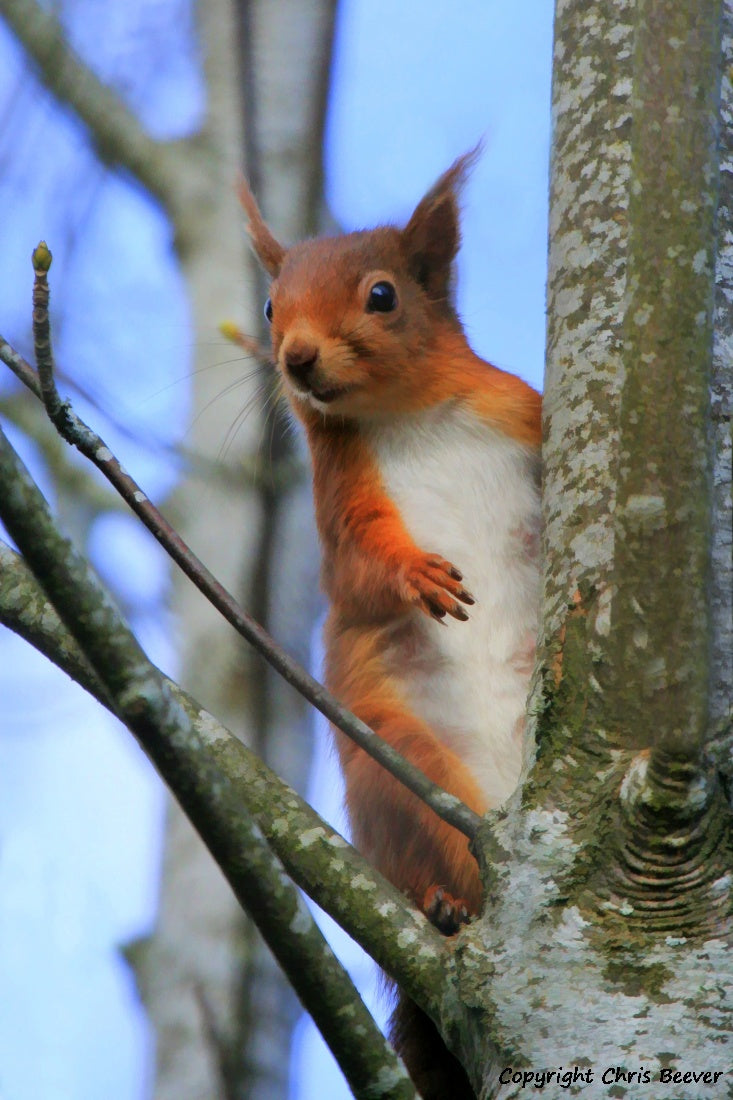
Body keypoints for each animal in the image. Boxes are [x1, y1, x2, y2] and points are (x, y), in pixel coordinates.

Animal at [236, 155, 539, 1100]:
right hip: (398, 775)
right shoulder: (339, 505)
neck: (410, 414)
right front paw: (415, 576)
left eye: (381, 295)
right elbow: (364, 575)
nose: (296, 358)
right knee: (433, 864)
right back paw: (442, 909)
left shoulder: (520, 409)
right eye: (271, 305)